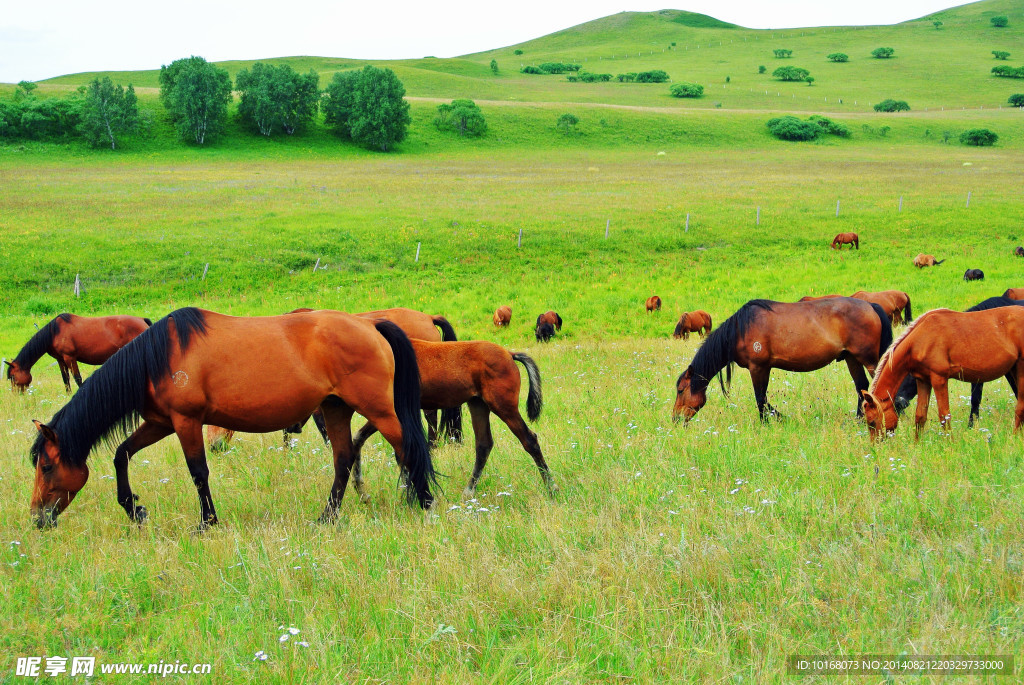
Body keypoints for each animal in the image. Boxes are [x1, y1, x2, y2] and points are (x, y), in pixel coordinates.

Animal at [6, 314, 152, 392]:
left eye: (12, 376)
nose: (16, 394)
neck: (54, 333)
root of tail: (142, 319)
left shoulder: (70, 358)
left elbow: (77, 378)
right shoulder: (60, 360)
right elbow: (66, 379)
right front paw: (68, 394)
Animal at [28, 308, 436, 529]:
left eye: (46, 467)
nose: (38, 518)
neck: (157, 356)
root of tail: (372, 325)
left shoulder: (186, 422)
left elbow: (198, 473)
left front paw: (207, 523)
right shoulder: (161, 422)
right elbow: (121, 455)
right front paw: (135, 510)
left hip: (379, 410)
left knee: (408, 449)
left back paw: (422, 503)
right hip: (335, 409)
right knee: (344, 459)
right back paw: (327, 517)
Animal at [349, 339, 556, 499]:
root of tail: (509, 354)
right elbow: (359, 438)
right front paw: (361, 490)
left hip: (504, 407)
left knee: (530, 440)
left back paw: (551, 488)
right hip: (478, 405)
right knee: (484, 445)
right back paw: (468, 491)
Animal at [673, 298, 892, 423]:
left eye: (681, 390)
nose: (675, 418)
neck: (740, 330)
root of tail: (871, 306)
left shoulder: (758, 367)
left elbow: (760, 399)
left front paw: (768, 422)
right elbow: (764, 399)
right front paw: (778, 416)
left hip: (869, 360)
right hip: (852, 359)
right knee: (861, 387)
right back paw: (859, 420)